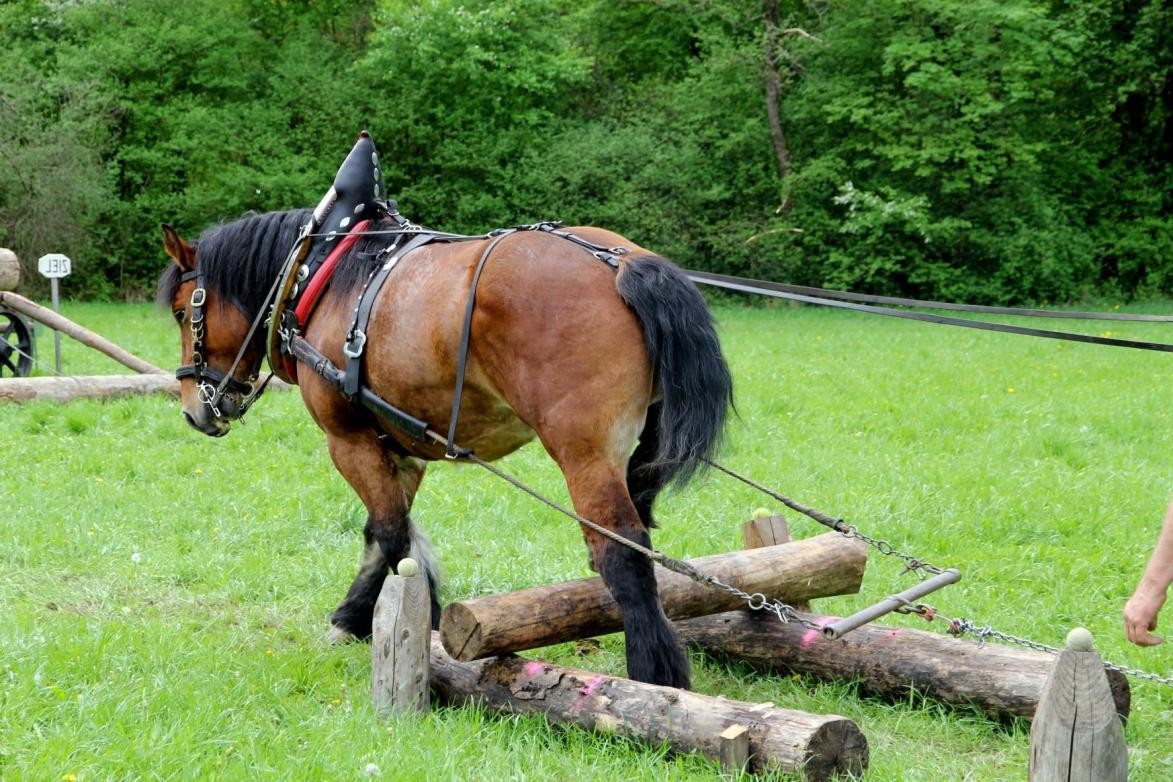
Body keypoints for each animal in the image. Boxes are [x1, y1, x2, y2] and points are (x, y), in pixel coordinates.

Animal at [158, 208, 732, 689]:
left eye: (183, 312)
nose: (193, 410)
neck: (324, 277)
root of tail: (620, 262)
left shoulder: (348, 441)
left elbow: (394, 538)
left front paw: (424, 630)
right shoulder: (398, 448)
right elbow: (383, 533)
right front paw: (353, 615)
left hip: (585, 454)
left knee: (623, 551)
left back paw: (655, 673)